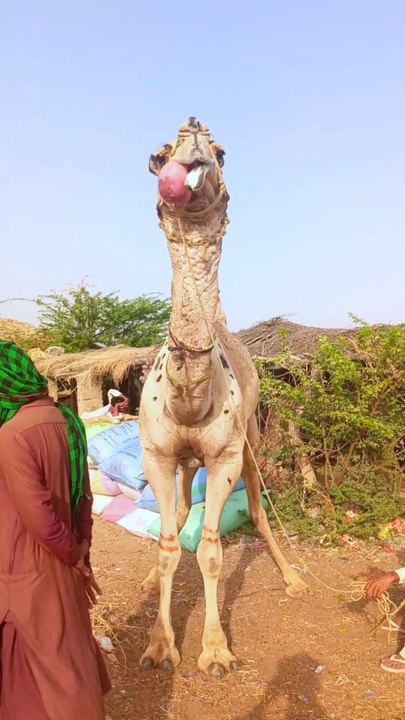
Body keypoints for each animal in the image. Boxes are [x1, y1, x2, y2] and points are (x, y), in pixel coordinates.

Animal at [138, 117, 307, 677]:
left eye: (222, 151)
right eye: (159, 153)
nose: (192, 126)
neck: (190, 399)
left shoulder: (227, 455)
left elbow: (212, 550)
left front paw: (214, 650)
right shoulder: (157, 455)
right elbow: (169, 543)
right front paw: (158, 645)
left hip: (250, 442)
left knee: (256, 508)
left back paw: (292, 578)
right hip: (186, 462)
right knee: (180, 513)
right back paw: (149, 580)